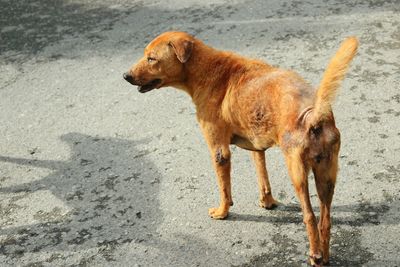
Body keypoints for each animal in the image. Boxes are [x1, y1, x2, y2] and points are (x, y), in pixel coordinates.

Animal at [123, 31, 358, 266]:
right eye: (145, 55)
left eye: (151, 58)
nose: (125, 75)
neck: (206, 70)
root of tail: (314, 114)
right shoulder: (256, 146)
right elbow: (263, 178)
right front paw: (267, 202)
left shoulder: (219, 151)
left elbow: (224, 190)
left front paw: (222, 212)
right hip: (326, 175)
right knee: (325, 220)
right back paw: (324, 256)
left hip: (298, 173)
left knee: (309, 216)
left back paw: (315, 255)